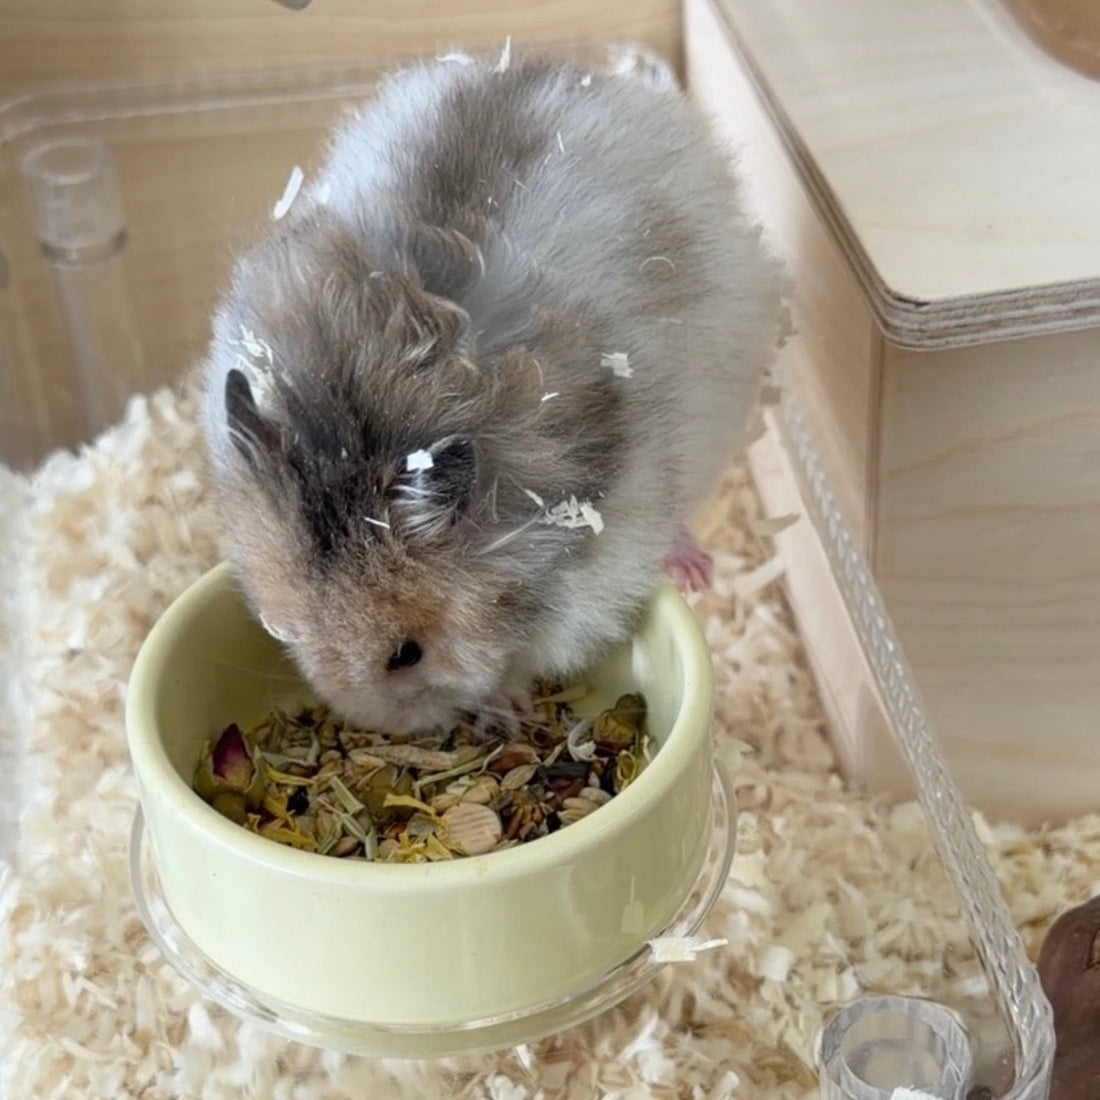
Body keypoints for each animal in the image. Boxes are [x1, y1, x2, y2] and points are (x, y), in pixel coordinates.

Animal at [200, 49, 785, 736]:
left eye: (406, 654)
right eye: (285, 632)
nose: (381, 726)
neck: (359, 418)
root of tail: (596, 75)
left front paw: (507, 703)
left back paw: (695, 570)